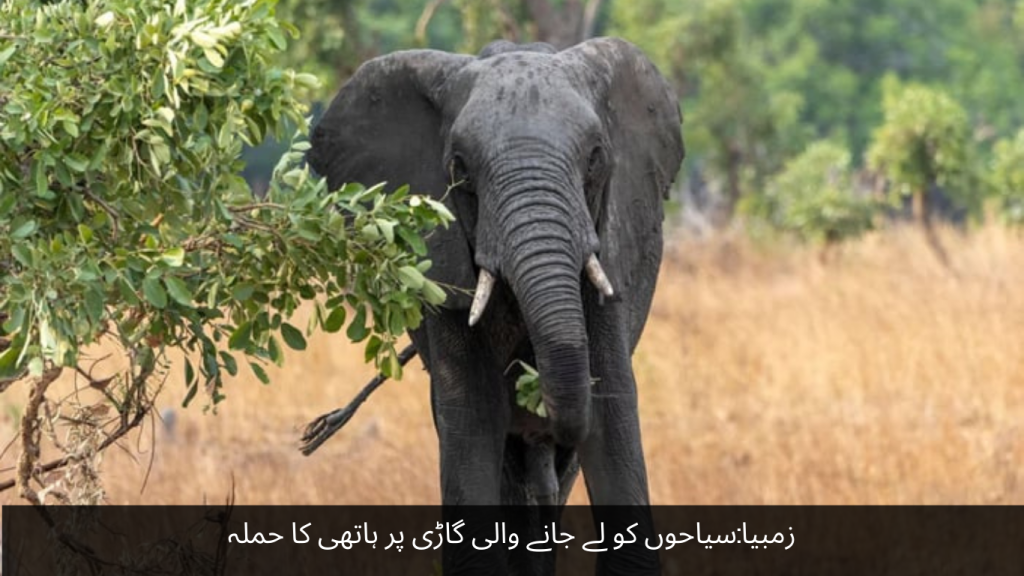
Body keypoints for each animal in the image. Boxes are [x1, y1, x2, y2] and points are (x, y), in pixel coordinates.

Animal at [305, 38, 688, 569]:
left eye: (595, 159)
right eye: (460, 169)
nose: (537, 391)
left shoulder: (611, 247)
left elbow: (611, 410)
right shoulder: (441, 266)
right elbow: (474, 420)